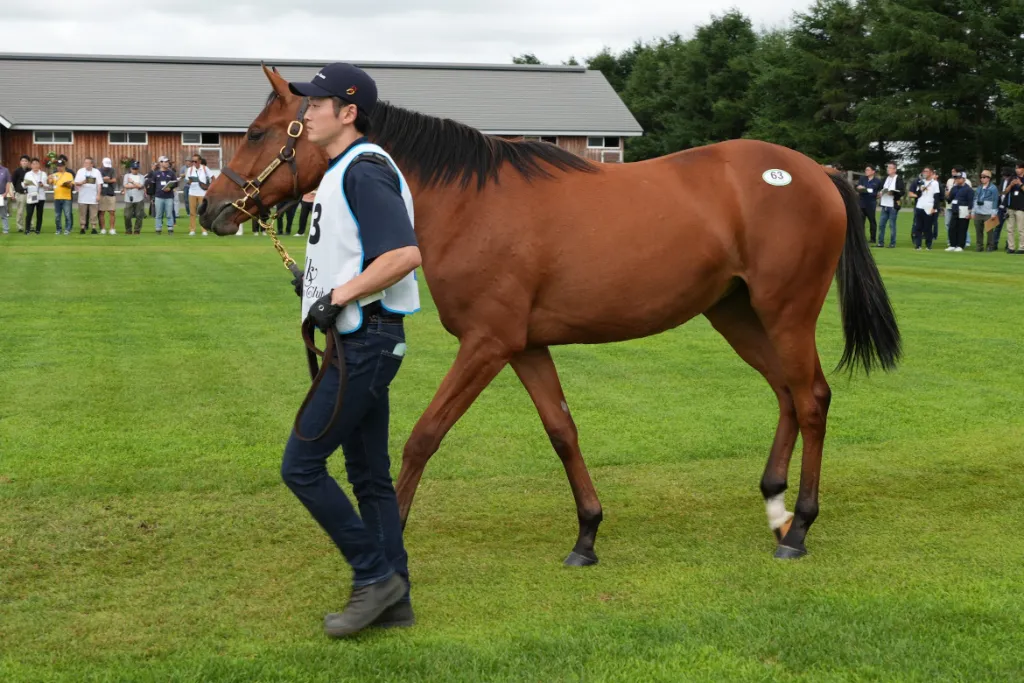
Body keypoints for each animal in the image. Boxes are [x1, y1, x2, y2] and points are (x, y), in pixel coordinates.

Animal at [199, 66, 900, 564]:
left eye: (257, 133)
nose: (211, 209)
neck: (467, 202)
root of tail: (816, 172)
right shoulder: (525, 346)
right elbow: (562, 431)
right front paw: (587, 534)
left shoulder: (487, 343)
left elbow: (425, 435)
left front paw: (391, 535)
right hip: (736, 313)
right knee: (786, 393)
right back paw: (775, 507)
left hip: (787, 311)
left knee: (810, 397)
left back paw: (799, 526)